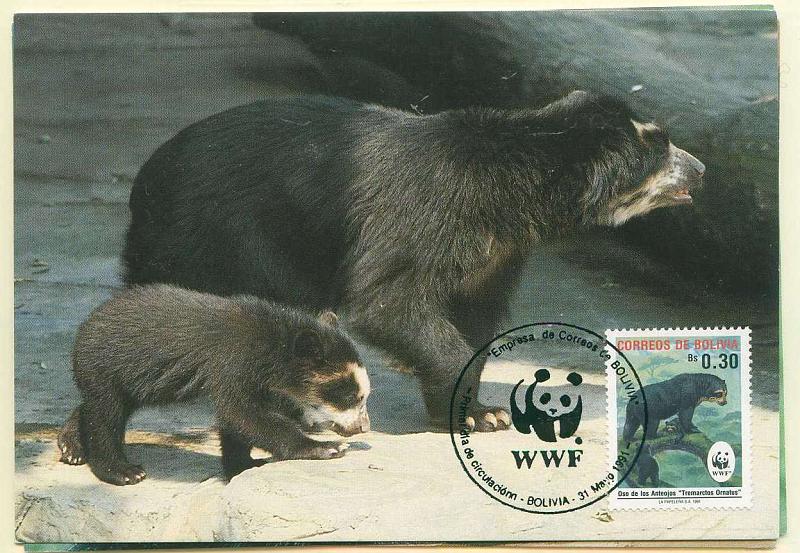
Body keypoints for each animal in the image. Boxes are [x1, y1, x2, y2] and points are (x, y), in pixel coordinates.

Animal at [57, 284, 371, 485]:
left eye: (363, 395)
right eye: (349, 395)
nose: (362, 427)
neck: (274, 346)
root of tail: (87, 323)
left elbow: (239, 420)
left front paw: (245, 465)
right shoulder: (234, 361)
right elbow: (241, 413)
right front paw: (328, 448)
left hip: (135, 380)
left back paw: (71, 446)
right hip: (107, 364)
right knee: (105, 414)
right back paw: (122, 471)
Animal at [122, 91, 705, 431]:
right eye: (662, 146)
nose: (700, 169)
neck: (514, 191)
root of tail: (148, 175)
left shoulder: (496, 252)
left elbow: (473, 314)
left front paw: (480, 410)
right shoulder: (425, 212)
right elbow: (388, 300)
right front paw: (477, 413)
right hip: (216, 231)